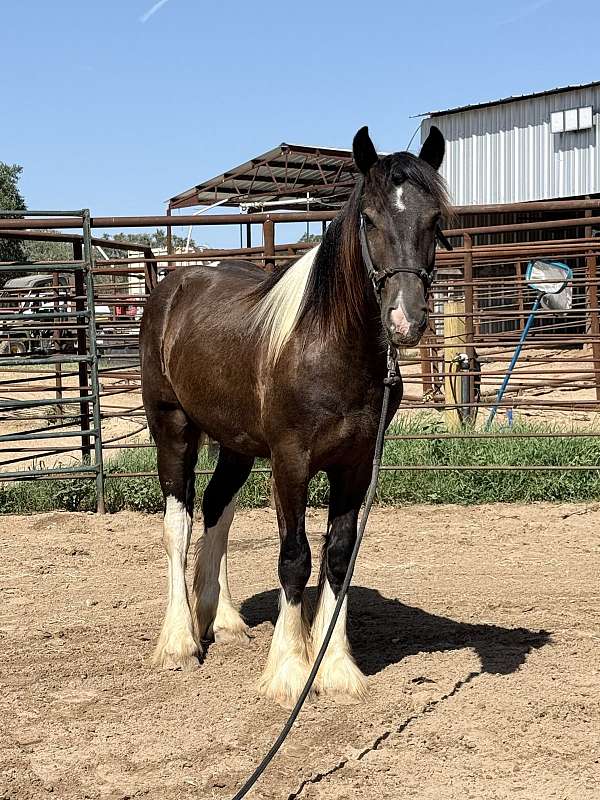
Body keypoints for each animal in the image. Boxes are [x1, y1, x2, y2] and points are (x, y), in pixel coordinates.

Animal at [140, 125, 450, 707]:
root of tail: (172, 287)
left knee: (216, 510)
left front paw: (333, 666)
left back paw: (222, 620)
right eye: (368, 218)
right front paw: (287, 669)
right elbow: (294, 558)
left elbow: (338, 556)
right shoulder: (290, 463)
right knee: (178, 522)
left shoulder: (355, 467)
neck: (330, 348)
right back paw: (179, 641)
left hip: (236, 445)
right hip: (172, 429)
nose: (405, 319)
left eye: (435, 220)